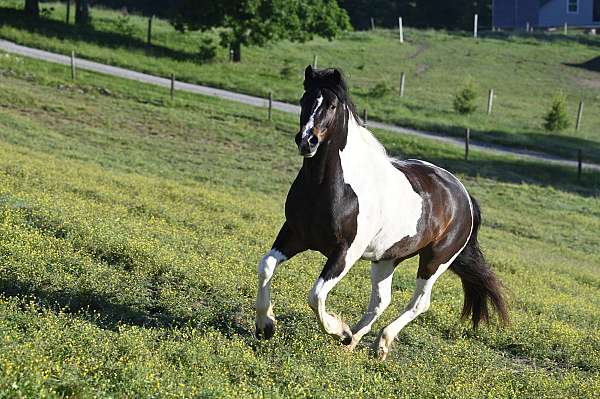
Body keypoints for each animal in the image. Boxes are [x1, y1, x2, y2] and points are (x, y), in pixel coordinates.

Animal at [253, 65, 506, 360]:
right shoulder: (294, 234)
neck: (331, 187)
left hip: (435, 260)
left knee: (419, 302)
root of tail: (463, 195)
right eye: (304, 99)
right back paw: (353, 340)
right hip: (387, 257)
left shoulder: (345, 252)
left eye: (332, 105)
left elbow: (316, 295)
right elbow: (266, 266)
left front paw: (338, 329)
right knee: (382, 299)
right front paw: (266, 325)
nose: (307, 141)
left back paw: (378, 343)